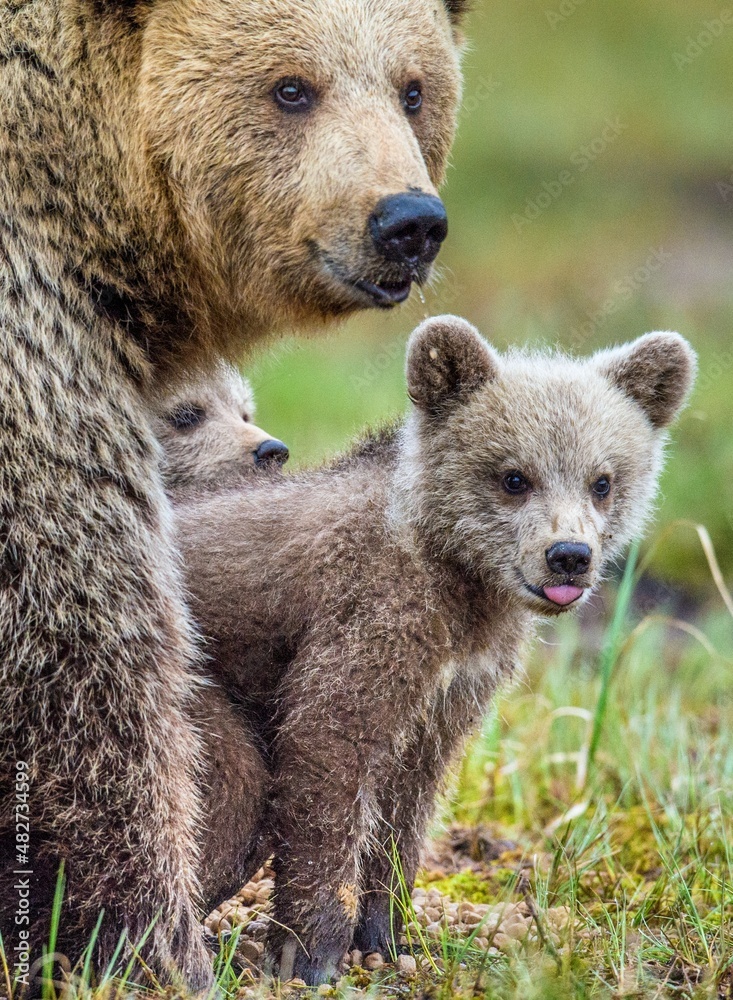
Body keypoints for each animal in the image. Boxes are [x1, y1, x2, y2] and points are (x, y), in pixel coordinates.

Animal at [174, 316, 696, 985]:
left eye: (602, 481)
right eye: (514, 476)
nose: (569, 556)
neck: (465, 584)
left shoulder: (458, 680)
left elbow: (408, 803)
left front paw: (387, 936)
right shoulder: (374, 619)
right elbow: (328, 754)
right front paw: (311, 954)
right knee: (228, 795)